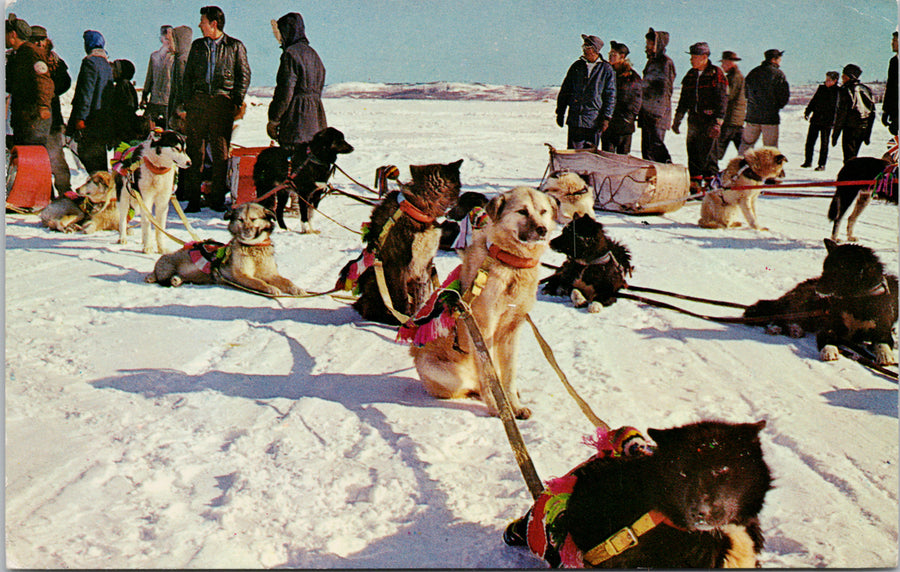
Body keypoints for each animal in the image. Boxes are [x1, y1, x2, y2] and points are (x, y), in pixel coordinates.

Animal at [414, 185, 556, 418]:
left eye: (543, 211)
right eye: (522, 211)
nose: (542, 230)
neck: (510, 263)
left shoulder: (511, 331)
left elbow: (508, 376)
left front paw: (514, 406)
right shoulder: (483, 328)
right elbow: (489, 378)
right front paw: (499, 408)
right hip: (441, 370)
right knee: (473, 385)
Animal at [740, 238, 896, 364]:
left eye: (838, 269)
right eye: (824, 268)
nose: (817, 288)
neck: (855, 300)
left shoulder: (882, 329)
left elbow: (883, 342)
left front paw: (885, 354)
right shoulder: (829, 326)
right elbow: (827, 337)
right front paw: (829, 350)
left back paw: (794, 329)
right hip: (806, 306)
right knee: (778, 316)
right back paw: (778, 328)